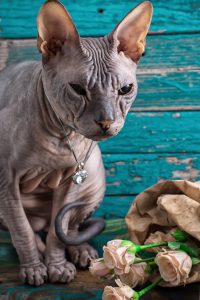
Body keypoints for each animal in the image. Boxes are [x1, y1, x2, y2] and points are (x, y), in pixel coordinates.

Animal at [0, 0, 153, 286]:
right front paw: (34, 268)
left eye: (125, 90)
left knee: (65, 226)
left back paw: (83, 252)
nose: (106, 121)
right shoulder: (5, 180)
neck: (60, 138)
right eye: (78, 89)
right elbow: (21, 229)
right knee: (31, 229)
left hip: (94, 179)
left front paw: (57, 266)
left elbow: (58, 232)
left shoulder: (72, 179)